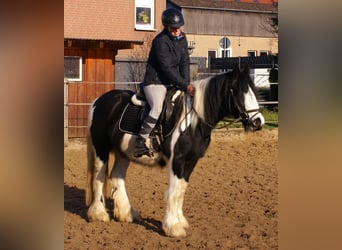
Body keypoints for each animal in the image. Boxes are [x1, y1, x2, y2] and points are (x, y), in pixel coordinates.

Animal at [85, 65, 264, 237]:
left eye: (253, 91)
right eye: (240, 92)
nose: (258, 121)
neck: (194, 121)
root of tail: (99, 101)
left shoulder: (191, 161)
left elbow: (181, 190)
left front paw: (180, 221)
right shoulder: (177, 161)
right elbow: (174, 192)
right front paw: (172, 227)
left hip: (123, 153)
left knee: (117, 176)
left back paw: (126, 214)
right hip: (101, 149)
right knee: (99, 176)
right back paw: (99, 214)